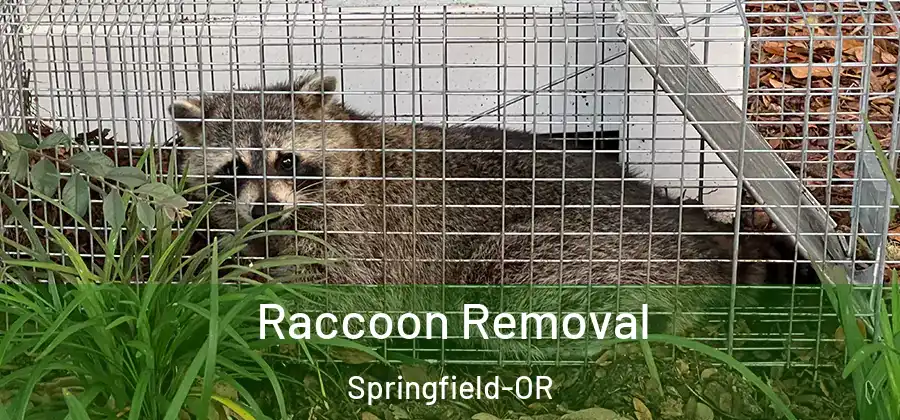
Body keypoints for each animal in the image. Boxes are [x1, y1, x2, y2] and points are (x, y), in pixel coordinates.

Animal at [168, 73, 800, 357]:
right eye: (234, 168)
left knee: (511, 281)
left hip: (579, 245)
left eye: (287, 159)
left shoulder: (364, 234)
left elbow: (341, 297)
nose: (266, 206)